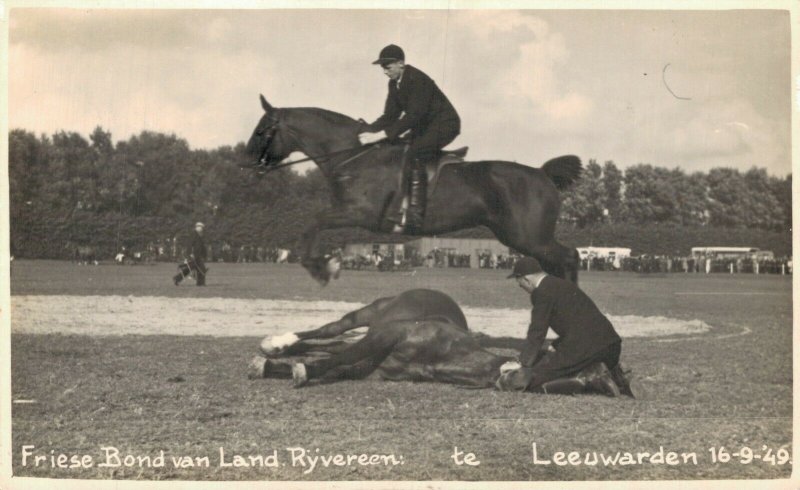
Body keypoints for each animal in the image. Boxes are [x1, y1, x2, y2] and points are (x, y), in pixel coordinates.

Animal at [244, 94, 580, 284]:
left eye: (261, 131)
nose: (246, 162)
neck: (354, 157)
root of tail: (542, 173)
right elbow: (314, 226)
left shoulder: (358, 214)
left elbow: (314, 224)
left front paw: (321, 268)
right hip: (522, 237)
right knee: (561, 260)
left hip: (528, 238)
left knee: (568, 257)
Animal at [250, 290, 624, 396]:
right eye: (577, 369)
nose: (512, 382)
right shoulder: (385, 337)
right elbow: (330, 360)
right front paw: (296, 371)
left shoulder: (371, 368)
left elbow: (336, 363)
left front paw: (271, 367)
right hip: (366, 317)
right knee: (330, 331)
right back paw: (279, 342)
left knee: (333, 344)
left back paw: (275, 351)